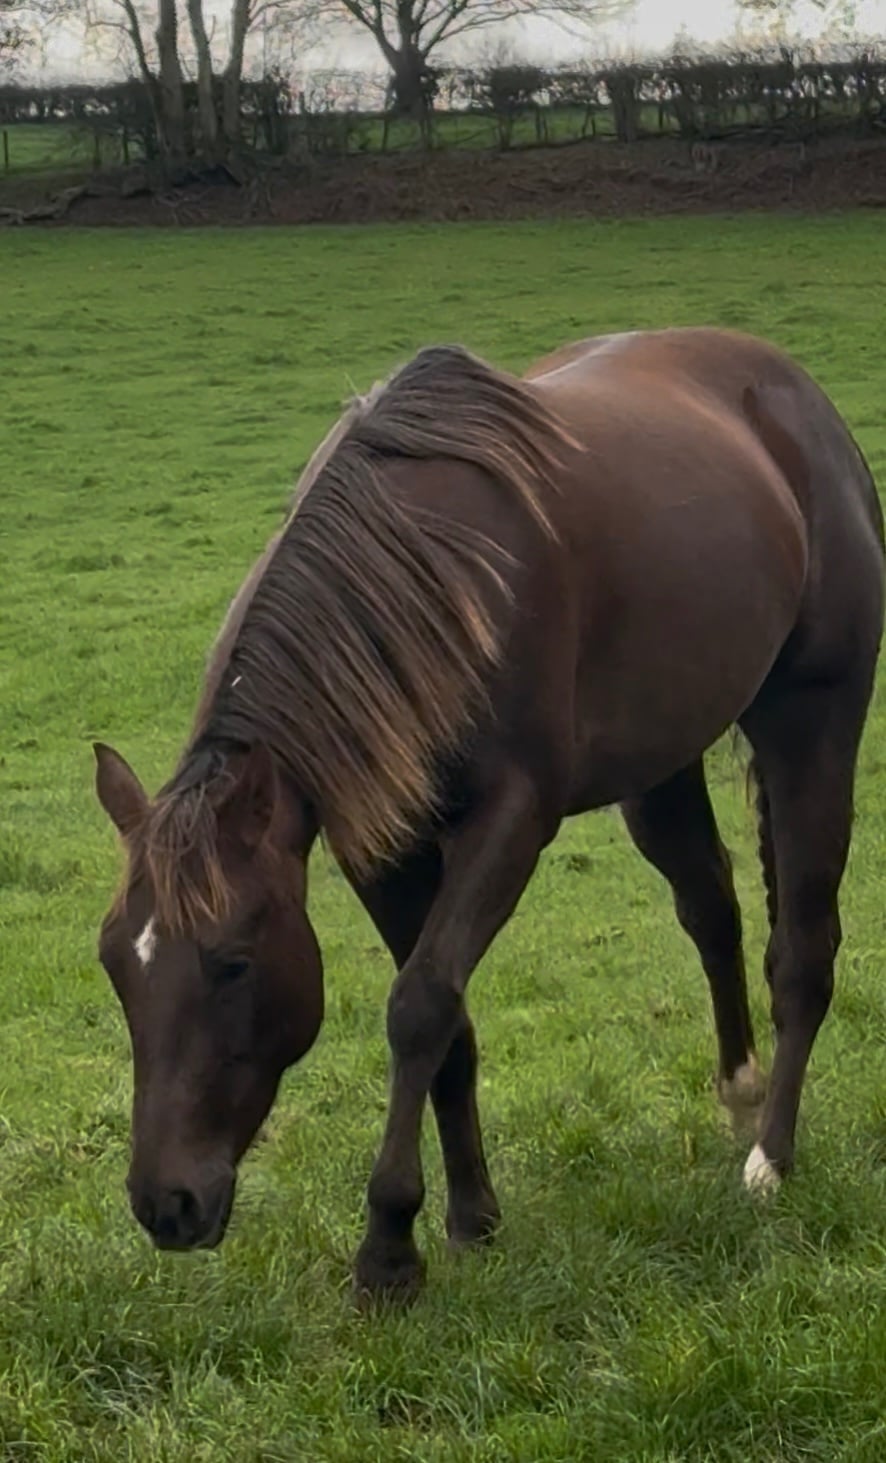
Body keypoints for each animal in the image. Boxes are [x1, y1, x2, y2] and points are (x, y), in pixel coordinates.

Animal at [93, 326, 884, 1304]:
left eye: (233, 962)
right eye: (115, 967)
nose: (166, 1204)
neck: (427, 575)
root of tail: (793, 394)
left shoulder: (511, 819)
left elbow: (420, 1004)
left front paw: (389, 1247)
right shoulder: (387, 849)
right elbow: (449, 1022)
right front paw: (472, 1216)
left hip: (813, 720)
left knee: (802, 950)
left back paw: (771, 1157)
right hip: (661, 763)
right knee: (711, 906)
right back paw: (740, 1092)